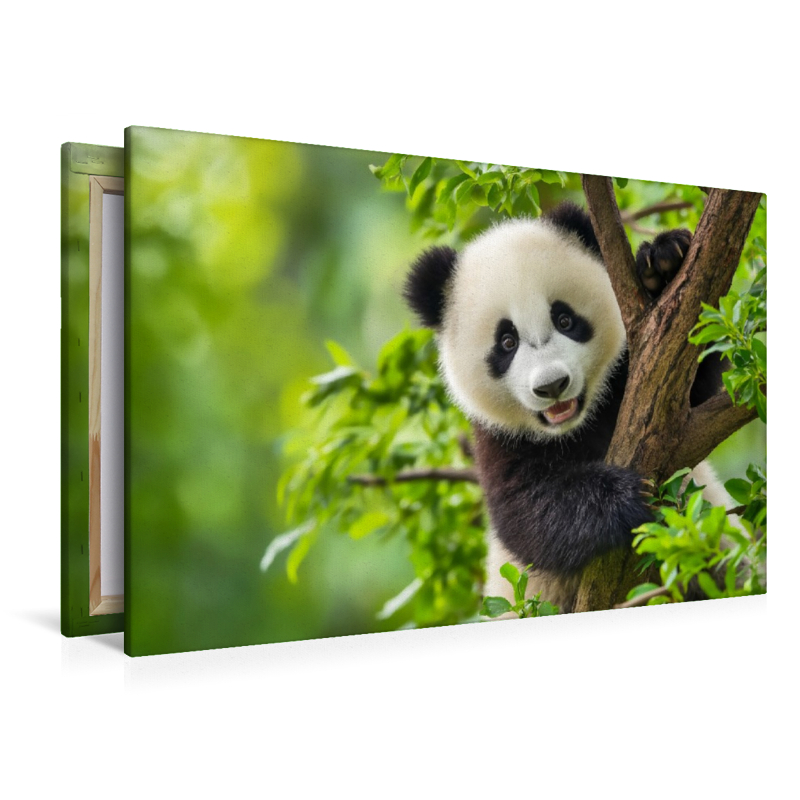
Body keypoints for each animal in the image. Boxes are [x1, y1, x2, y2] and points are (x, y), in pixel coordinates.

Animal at [403, 202, 731, 614]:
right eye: (506, 341)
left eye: (565, 319)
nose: (552, 386)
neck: (576, 428)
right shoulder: (499, 441)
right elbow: (526, 514)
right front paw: (626, 497)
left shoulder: (634, 381)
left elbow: (693, 383)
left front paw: (665, 261)